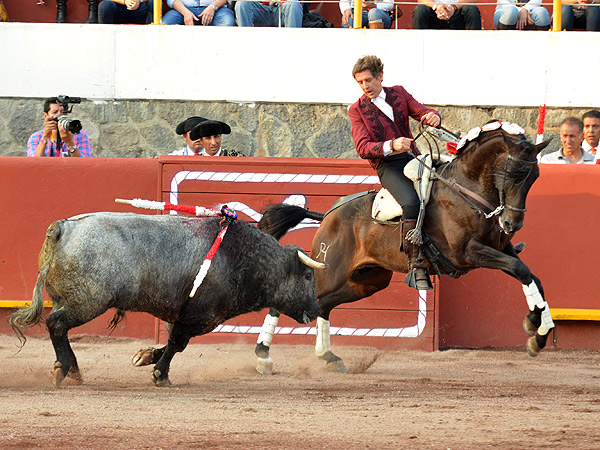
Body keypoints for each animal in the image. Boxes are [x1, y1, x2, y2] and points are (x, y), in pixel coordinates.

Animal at [10, 212, 324, 386]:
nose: (316, 310)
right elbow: (176, 343)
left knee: (59, 329)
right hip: (87, 302)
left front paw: (145, 357)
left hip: (68, 299)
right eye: (309, 276)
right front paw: (160, 374)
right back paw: (63, 369)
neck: (244, 257)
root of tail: (65, 227)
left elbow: (175, 344)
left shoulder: (185, 315)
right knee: (56, 324)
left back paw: (73, 369)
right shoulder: (197, 314)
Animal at [252, 121, 552, 374]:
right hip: (329, 270)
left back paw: (328, 356)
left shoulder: (501, 248)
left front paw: (539, 331)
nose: (512, 223)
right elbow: (520, 268)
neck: (465, 189)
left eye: (535, 176)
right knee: (289, 299)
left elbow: (530, 274)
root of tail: (328, 214)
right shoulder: (467, 254)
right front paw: (535, 327)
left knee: (323, 305)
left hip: (369, 280)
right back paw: (263, 356)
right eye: (511, 173)